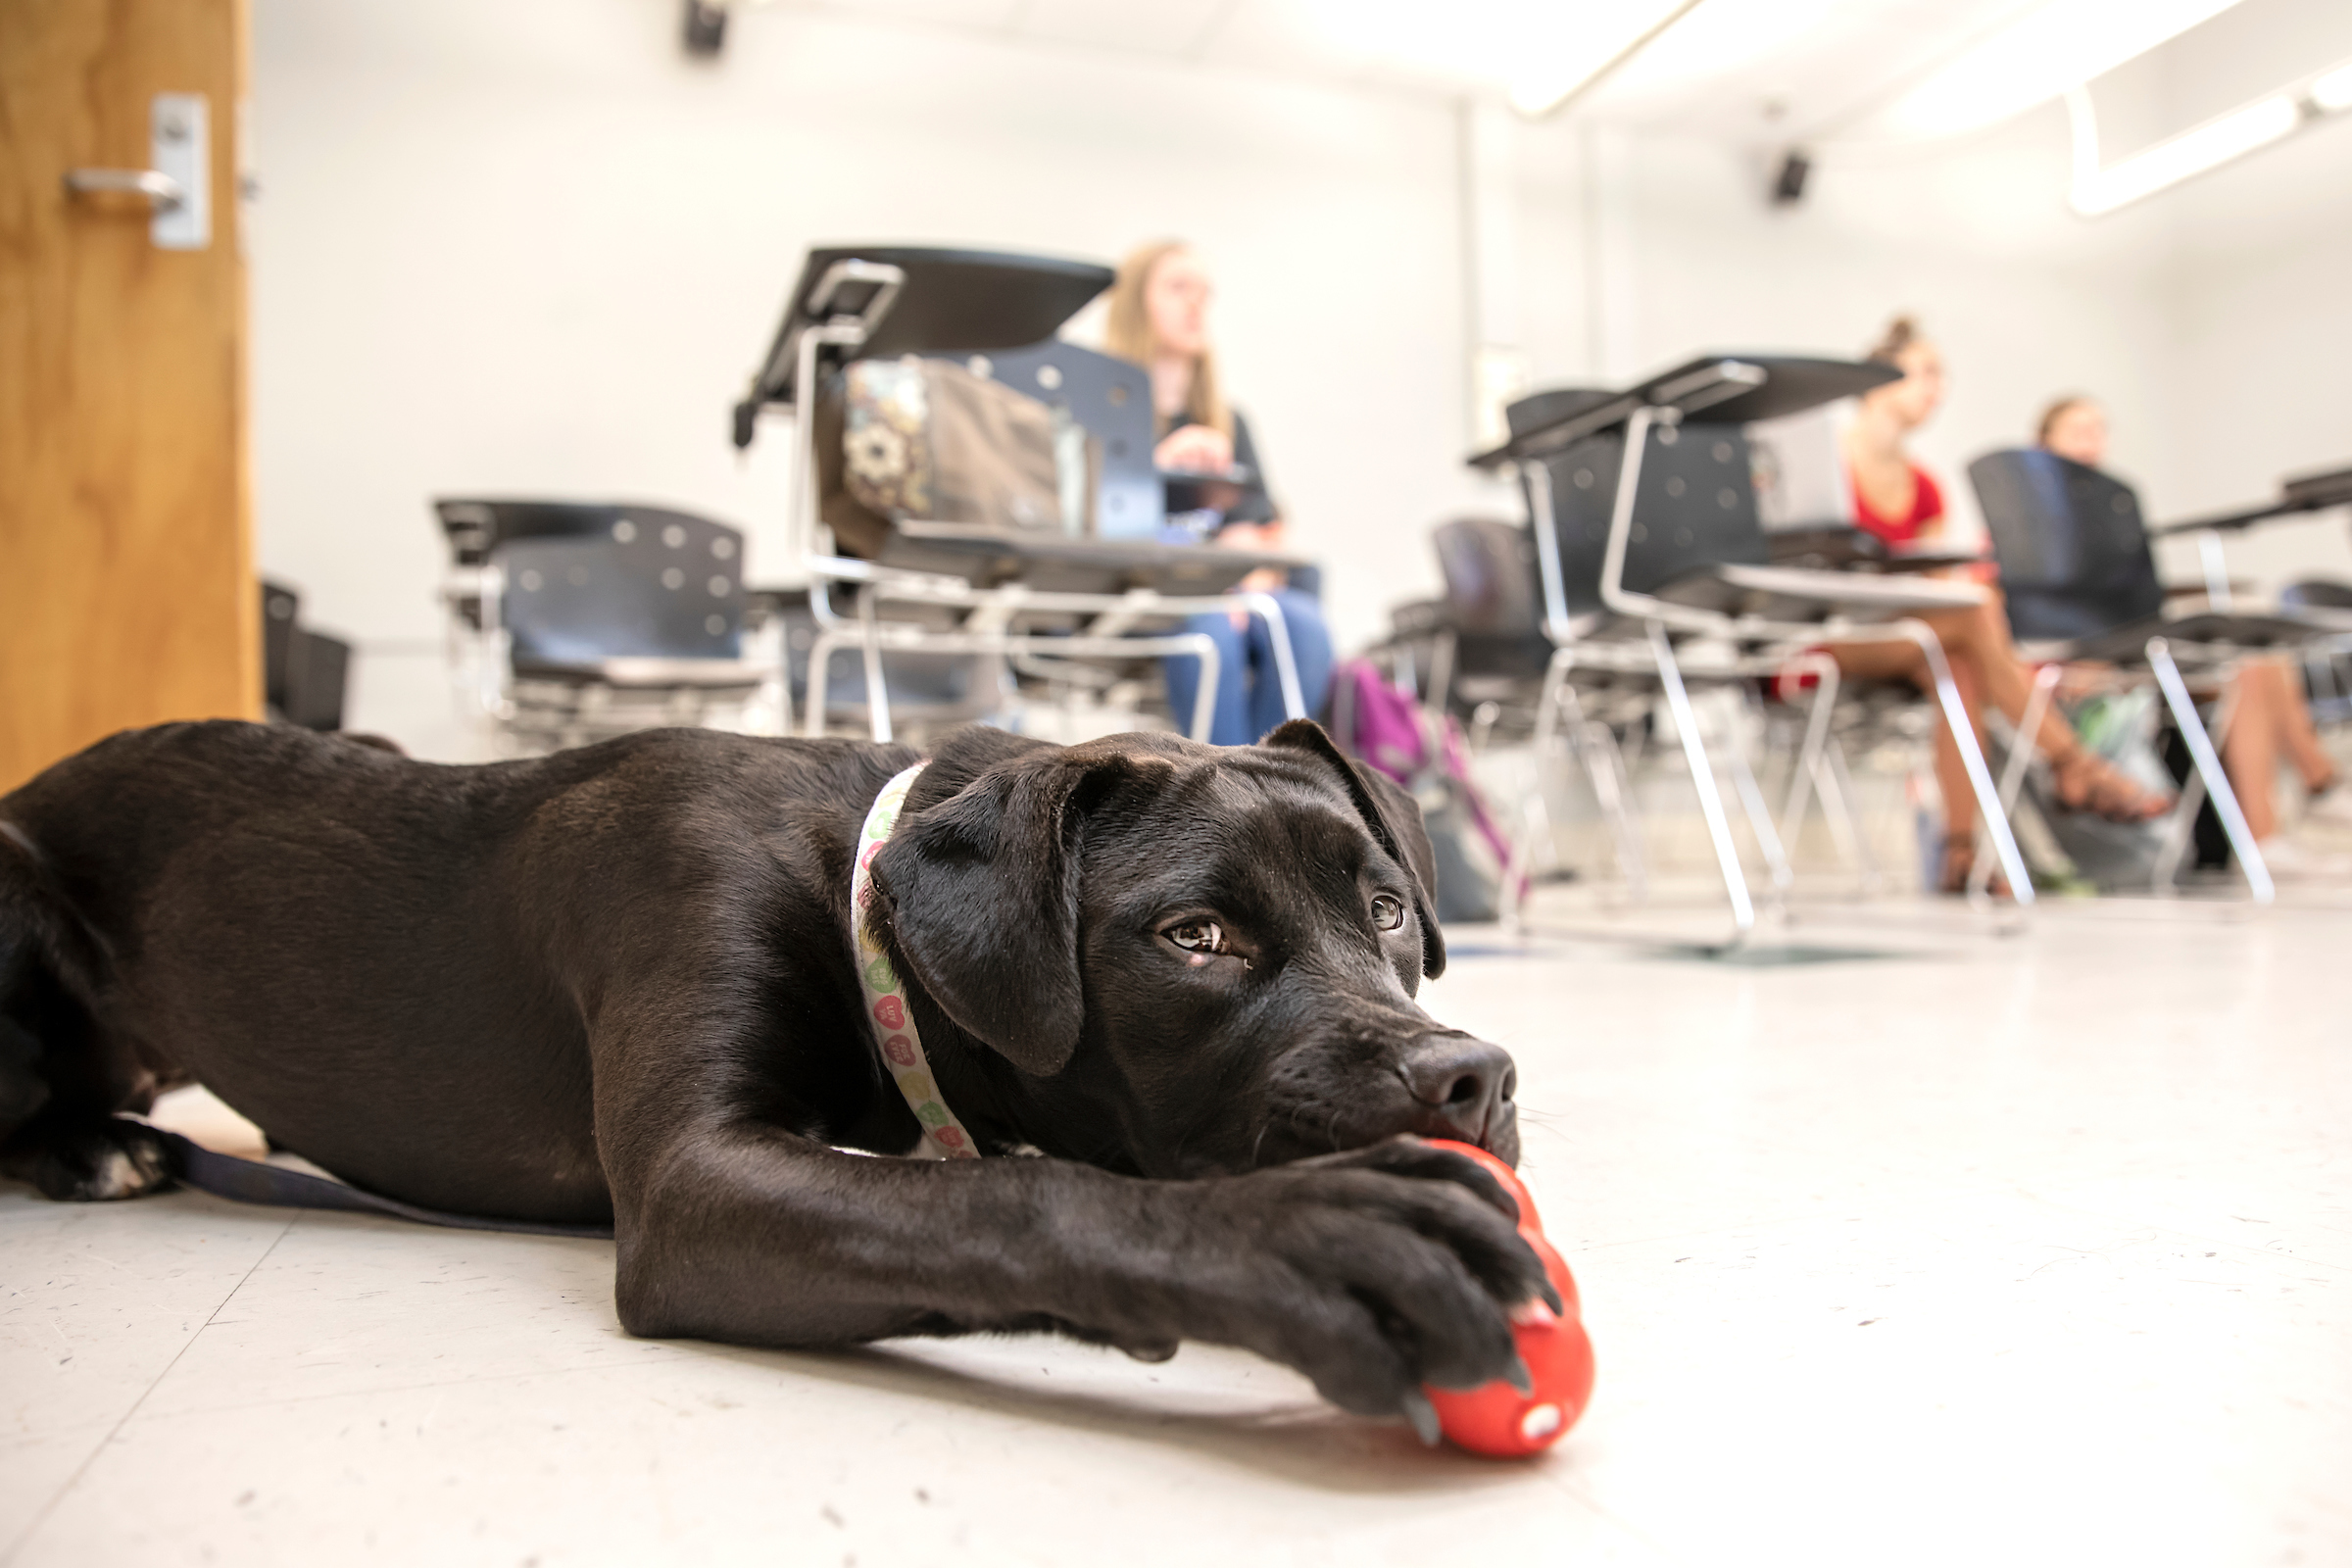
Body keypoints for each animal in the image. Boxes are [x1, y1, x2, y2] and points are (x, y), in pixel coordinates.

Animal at [4, 723, 1543, 1439]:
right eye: (1195, 938)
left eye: (1389, 910)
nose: (1472, 1079)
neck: (850, 889)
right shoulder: (698, 1182)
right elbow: (1016, 1200)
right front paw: (1311, 1239)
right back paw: (94, 1144)